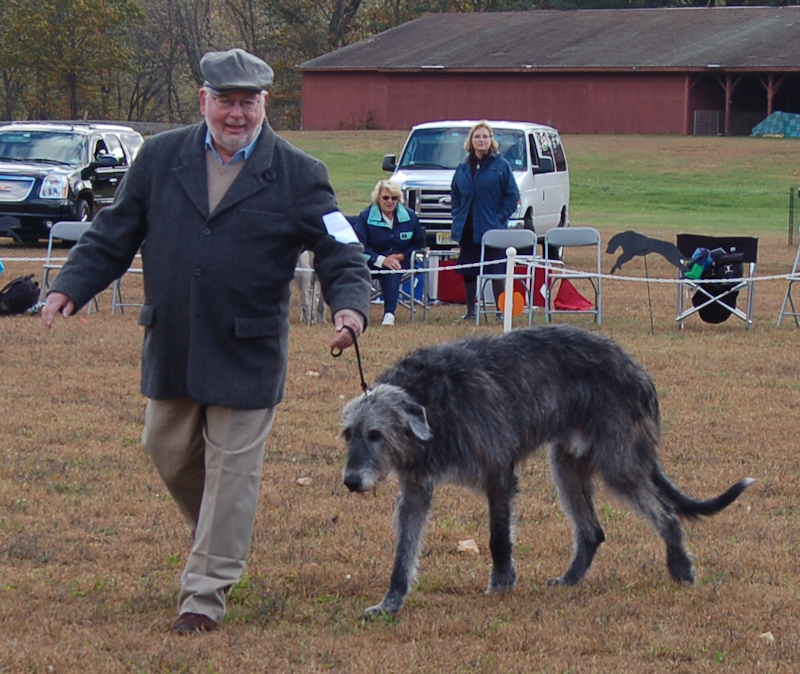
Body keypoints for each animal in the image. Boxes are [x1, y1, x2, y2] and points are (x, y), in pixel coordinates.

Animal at [340, 324, 752, 616]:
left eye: (376, 434)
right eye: (348, 434)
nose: (351, 481)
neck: (434, 400)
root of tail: (639, 370)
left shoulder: (498, 473)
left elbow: (499, 537)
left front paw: (502, 583)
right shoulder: (415, 489)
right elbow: (403, 553)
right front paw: (390, 603)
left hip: (619, 462)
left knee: (664, 514)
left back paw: (681, 569)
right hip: (567, 464)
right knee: (592, 532)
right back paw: (571, 579)